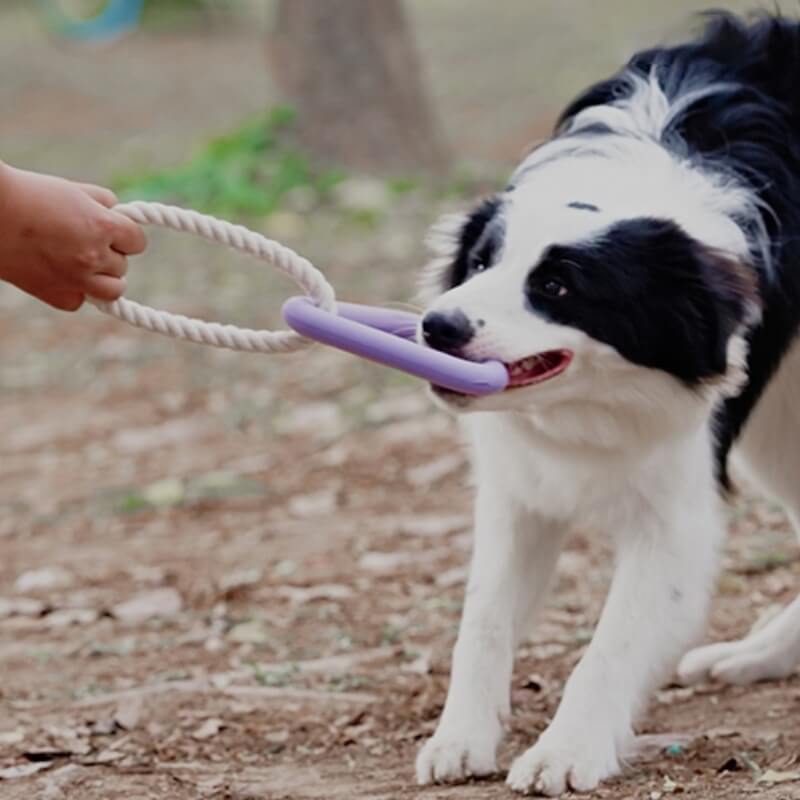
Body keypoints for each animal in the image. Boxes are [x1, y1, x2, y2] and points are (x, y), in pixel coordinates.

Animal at [412, 10, 800, 792]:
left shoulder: (675, 509)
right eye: (480, 261)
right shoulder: (516, 490)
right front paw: (460, 736)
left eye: (557, 286)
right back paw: (754, 657)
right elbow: (483, 618)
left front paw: (566, 752)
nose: (437, 327)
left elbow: (612, 644)